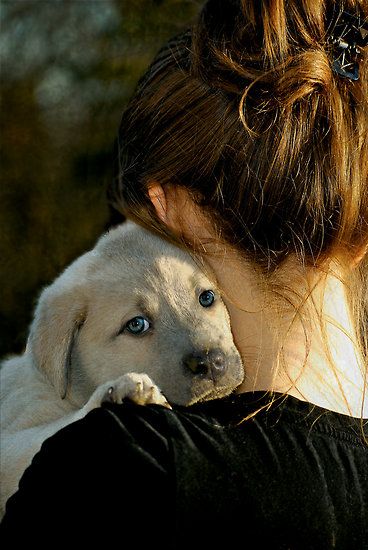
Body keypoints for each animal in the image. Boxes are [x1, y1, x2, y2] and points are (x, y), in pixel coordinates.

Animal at [0, 220, 244, 516]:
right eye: (136, 325)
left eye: (207, 297)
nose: (210, 363)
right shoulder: (11, 442)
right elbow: (57, 427)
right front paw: (120, 390)